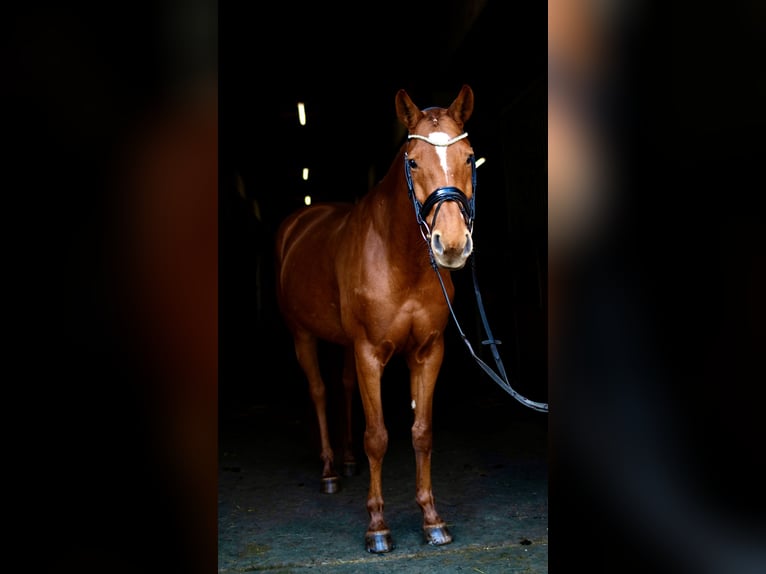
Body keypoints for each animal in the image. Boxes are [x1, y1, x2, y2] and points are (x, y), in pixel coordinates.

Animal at [276, 84, 480, 552]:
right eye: (413, 161)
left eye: (467, 157)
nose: (452, 244)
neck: (399, 257)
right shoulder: (369, 352)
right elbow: (378, 437)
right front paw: (378, 526)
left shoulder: (428, 352)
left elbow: (421, 432)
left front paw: (431, 519)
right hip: (303, 337)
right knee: (319, 392)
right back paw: (331, 471)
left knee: (345, 388)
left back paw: (348, 462)